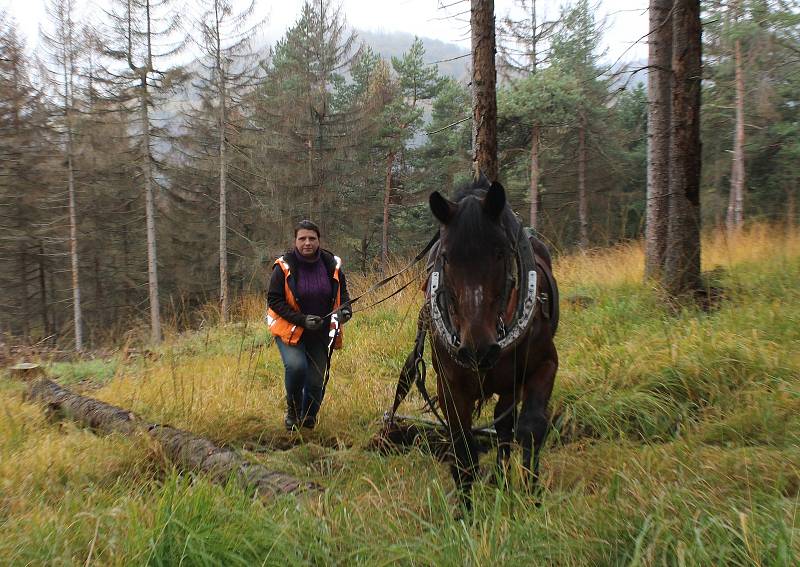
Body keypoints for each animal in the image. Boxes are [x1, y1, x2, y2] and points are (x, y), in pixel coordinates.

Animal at [392, 176, 556, 510]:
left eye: (500, 253)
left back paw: (504, 479)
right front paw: (466, 510)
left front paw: (532, 496)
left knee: (506, 426)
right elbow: (462, 443)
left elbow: (531, 427)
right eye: (445, 257)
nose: (477, 350)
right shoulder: (450, 386)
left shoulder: (545, 365)